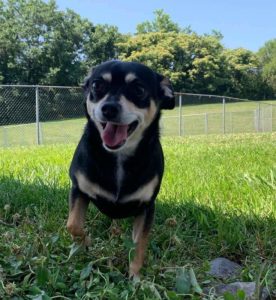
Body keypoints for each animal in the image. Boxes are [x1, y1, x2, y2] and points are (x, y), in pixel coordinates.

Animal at [66, 61, 175, 278]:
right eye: (96, 85)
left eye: (139, 90)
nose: (109, 108)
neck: (118, 157)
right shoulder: (78, 189)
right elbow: (73, 225)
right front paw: (86, 241)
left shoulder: (146, 207)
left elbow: (139, 245)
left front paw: (135, 276)